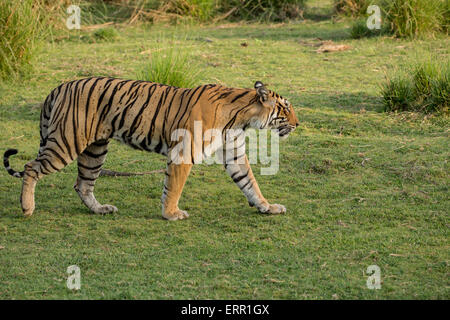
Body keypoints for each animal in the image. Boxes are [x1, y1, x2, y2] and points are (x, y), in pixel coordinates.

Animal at [4, 78, 298, 220]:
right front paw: (171, 214)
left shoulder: (233, 154)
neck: (242, 118)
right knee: (31, 167)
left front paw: (267, 207)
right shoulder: (183, 152)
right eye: (286, 109)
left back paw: (101, 210)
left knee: (83, 184)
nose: (297, 123)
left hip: (95, 149)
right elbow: (174, 186)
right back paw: (27, 208)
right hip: (67, 141)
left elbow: (250, 183)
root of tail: (59, 86)